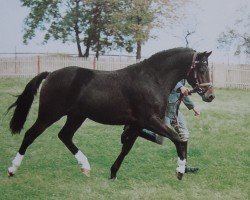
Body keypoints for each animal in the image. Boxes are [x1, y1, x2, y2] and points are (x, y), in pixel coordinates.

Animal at [6, 48, 214, 180]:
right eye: (202, 68)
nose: (210, 95)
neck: (152, 80)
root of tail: (50, 74)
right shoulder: (151, 121)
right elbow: (179, 139)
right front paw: (179, 171)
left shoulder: (138, 124)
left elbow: (126, 147)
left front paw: (113, 173)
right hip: (49, 114)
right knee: (30, 134)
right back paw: (12, 169)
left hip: (76, 116)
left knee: (64, 135)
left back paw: (85, 167)